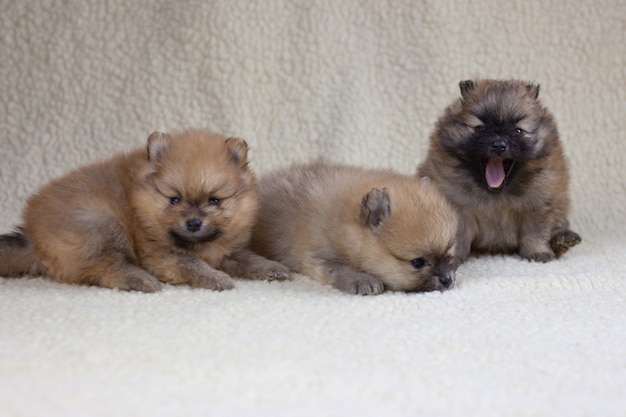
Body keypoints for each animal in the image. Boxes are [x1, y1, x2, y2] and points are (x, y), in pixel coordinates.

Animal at [0, 128, 292, 290]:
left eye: (214, 200)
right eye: (174, 199)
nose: (193, 223)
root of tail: (34, 239)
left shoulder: (229, 250)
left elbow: (250, 259)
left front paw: (272, 268)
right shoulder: (162, 255)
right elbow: (193, 265)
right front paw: (217, 279)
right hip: (100, 224)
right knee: (103, 269)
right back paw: (140, 280)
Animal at [249, 161, 458, 294]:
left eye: (448, 252)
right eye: (418, 262)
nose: (447, 279)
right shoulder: (316, 257)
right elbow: (340, 268)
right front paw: (362, 280)